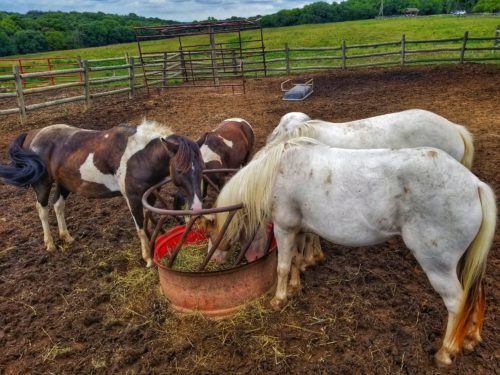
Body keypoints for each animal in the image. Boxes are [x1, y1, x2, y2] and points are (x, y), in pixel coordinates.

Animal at [0, 120, 205, 268]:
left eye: (202, 167)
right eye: (179, 170)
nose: (196, 208)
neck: (141, 155)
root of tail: (33, 134)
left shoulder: (150, 194)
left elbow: (148, 223)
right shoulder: (133, 197)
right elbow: (140, 228)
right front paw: (147, 258)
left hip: (64, 183)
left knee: (58, 206)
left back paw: (66, 237)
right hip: (42, 184)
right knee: (42, 209)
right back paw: (50, 244)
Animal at [203, 138, 496, 368]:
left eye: (209, 233)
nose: (213, 260)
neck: (278, 169)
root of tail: (475, 185)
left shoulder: (285, 228)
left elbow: (283, 266)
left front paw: (279, 298)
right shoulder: (299, 228)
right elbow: (296, 260)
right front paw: (295, 287)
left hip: (439, 266)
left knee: (457, 302)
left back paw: (446, 352)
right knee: (476, 293)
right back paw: (470, 338)